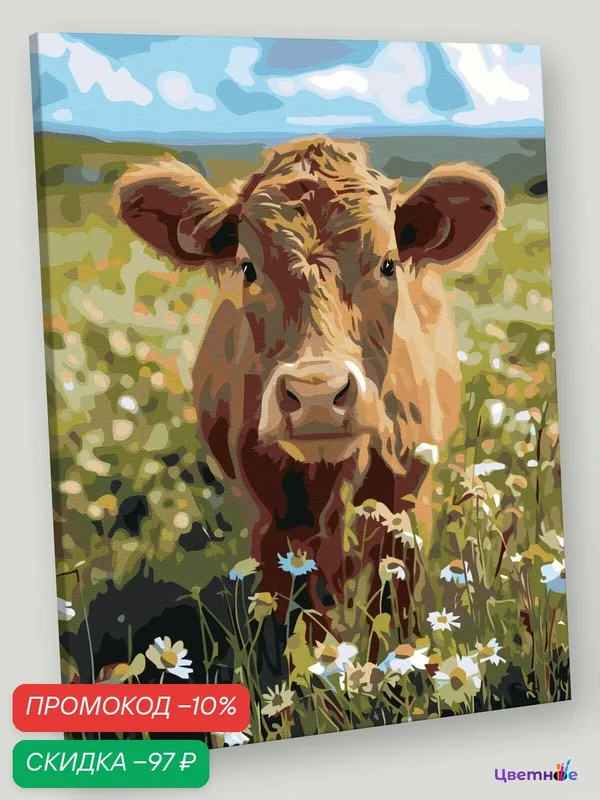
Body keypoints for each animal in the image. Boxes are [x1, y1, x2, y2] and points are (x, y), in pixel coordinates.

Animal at [112, 136, 503, 643]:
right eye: (247, 268)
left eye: (388, 264)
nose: (317, 394)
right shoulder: (273, 524)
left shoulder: (407, 506)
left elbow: (395, 616)